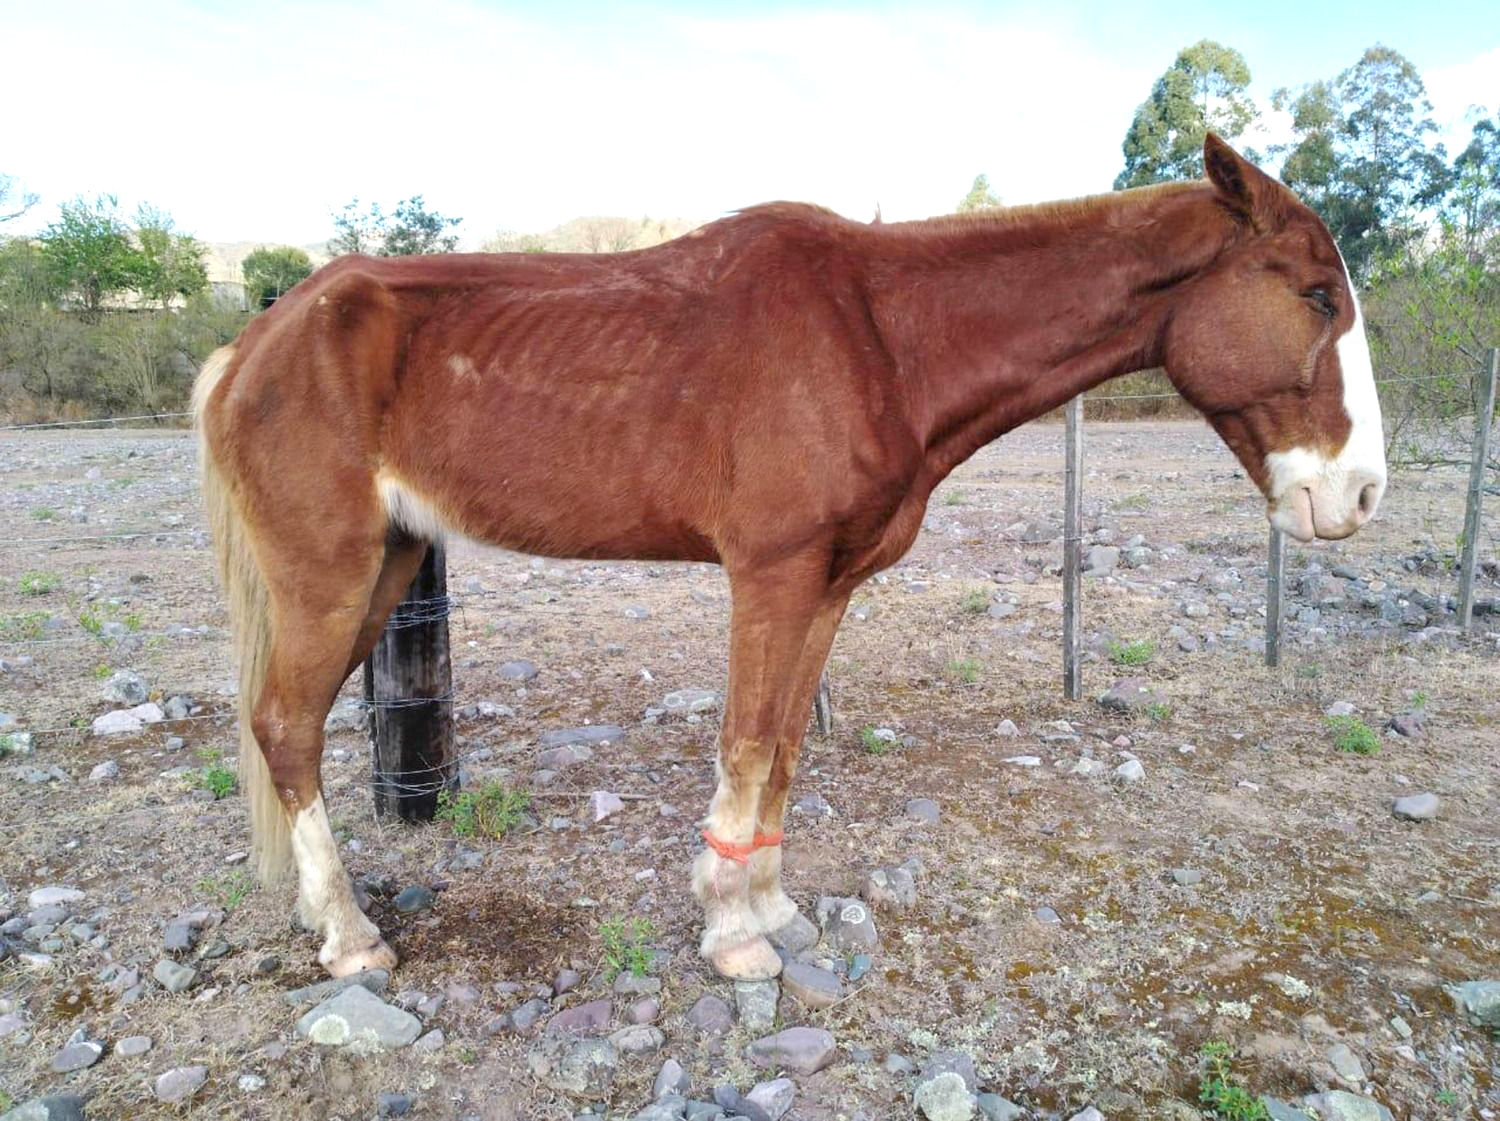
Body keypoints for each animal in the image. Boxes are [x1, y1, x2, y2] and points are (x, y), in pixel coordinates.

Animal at [193, 135, 1386, 982]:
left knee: (288, 732)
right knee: (286, 728)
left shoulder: (828, 585)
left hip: (390, 565)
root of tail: (256, 342)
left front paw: (768, 905)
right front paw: (731, 934)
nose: (1362, 490)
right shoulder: (770, 574)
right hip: (328, 574)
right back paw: (351, 937)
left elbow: (784, 753)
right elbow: (749, 740)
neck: (882, 334)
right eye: (1316, 295)